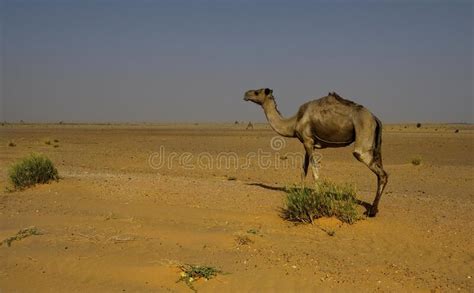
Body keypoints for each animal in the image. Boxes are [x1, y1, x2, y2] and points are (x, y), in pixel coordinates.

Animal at [244, 88, 388, 216]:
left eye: (257, 92)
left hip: (363, 134)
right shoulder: (308, 144)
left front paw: (316, 199)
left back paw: (371, 211)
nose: (246, 94)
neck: (294, 122)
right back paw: (374, 209)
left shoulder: (308, 141)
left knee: (380, 172)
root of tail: (375, 118)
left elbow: (315, 172)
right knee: (379, 170)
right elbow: (303, 171)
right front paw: (301, 194)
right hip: (375, 144)